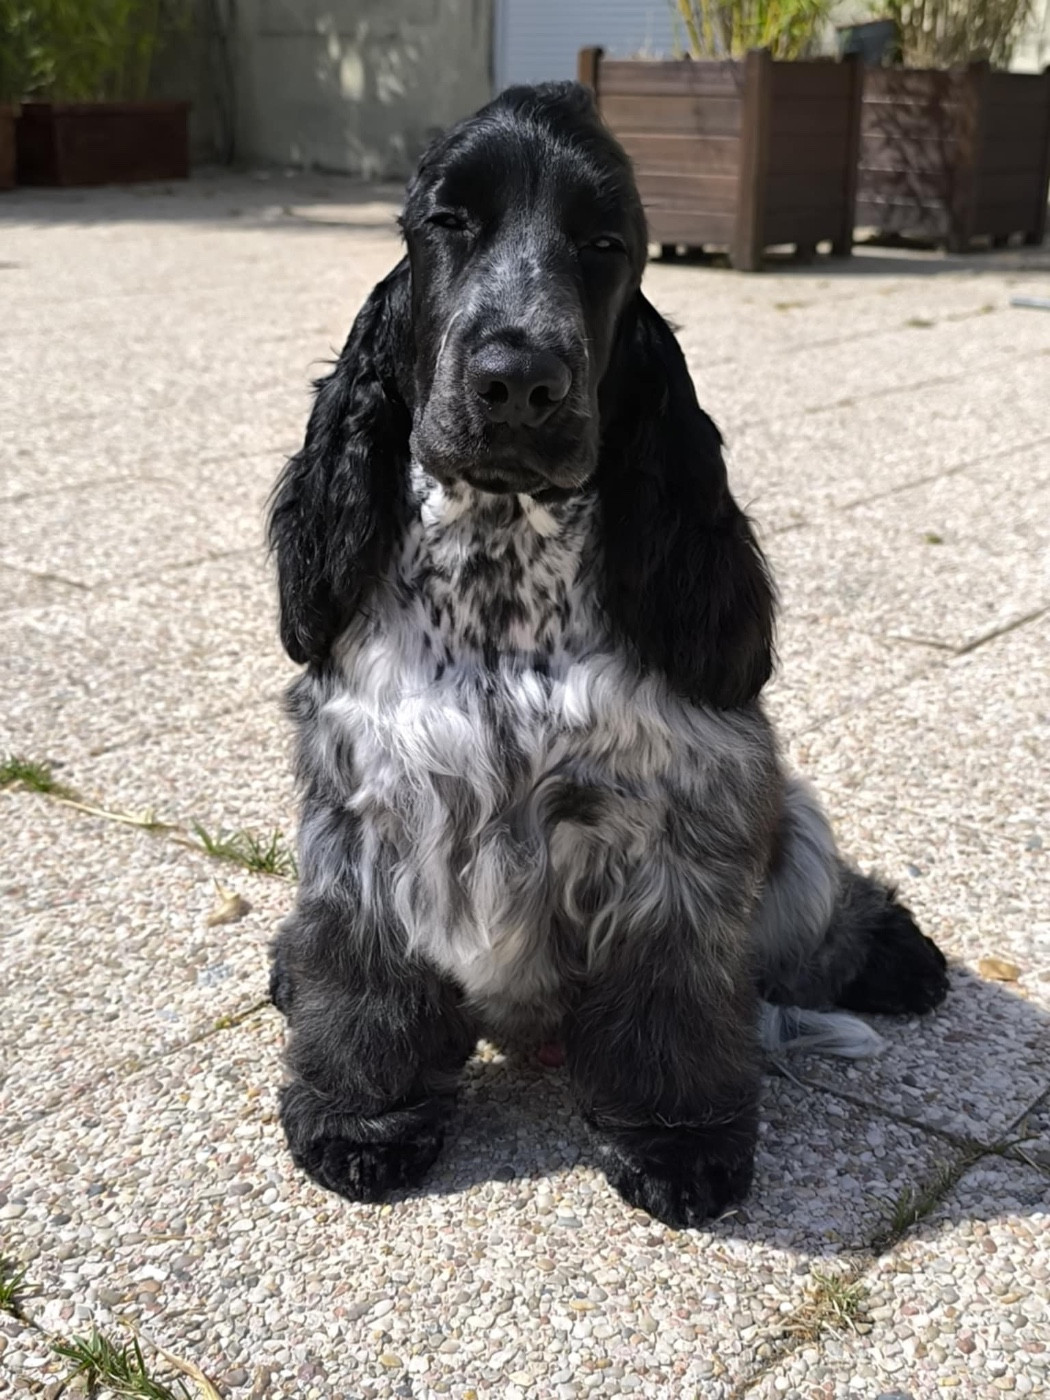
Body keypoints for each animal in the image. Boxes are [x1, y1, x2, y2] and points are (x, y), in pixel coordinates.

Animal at [266, 81, 948, 1229]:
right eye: (448, 222)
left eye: (605, 243)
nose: (518, 381)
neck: (501, 574)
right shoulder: (365, 811)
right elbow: (362, 986)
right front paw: (362, 1124)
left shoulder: (681, 823)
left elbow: (671, 1005)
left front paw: (681, 1148)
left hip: (791, 827)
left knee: (823, 919)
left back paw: (904, 959)